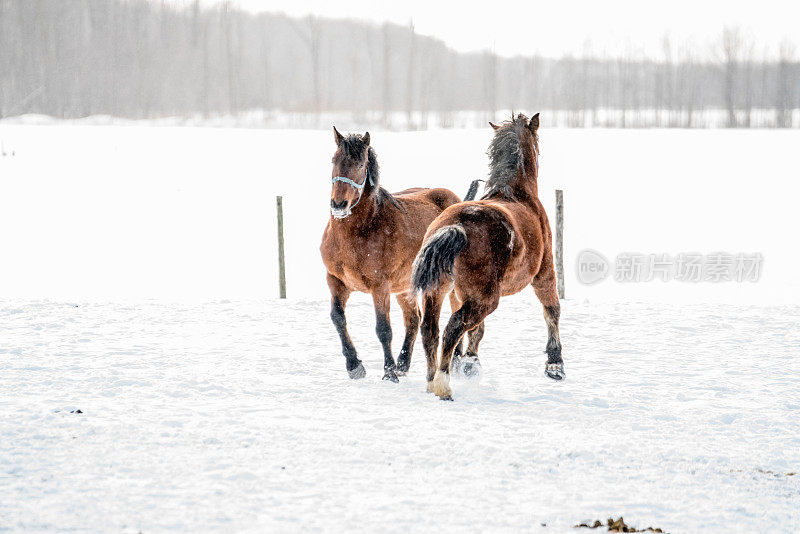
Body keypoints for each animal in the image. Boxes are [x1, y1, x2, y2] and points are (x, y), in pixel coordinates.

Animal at [320, 127, 482, 384]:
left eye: (361, 164)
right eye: (334, 160)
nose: (339, 204)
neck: (356, 233)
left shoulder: (380, 286)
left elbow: (383, 329)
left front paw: (388, 372)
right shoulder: (335, 280)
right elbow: (337, 318)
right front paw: (354, 366)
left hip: (448, 284)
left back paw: (455, 361)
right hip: (405, 287)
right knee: (413, 319)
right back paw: (403, 364)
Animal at [412, 113, 564, 400]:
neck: (518, 195)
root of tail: (455, 226)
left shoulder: (460, 293)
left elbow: (477, 331)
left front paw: (471, 364)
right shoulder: (544, 272)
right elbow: (551, 310)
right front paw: (555, 365)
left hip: (438, 290)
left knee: (430, 330)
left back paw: (430, 381)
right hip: (486, 297)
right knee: (453, 327)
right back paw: (443, 385)